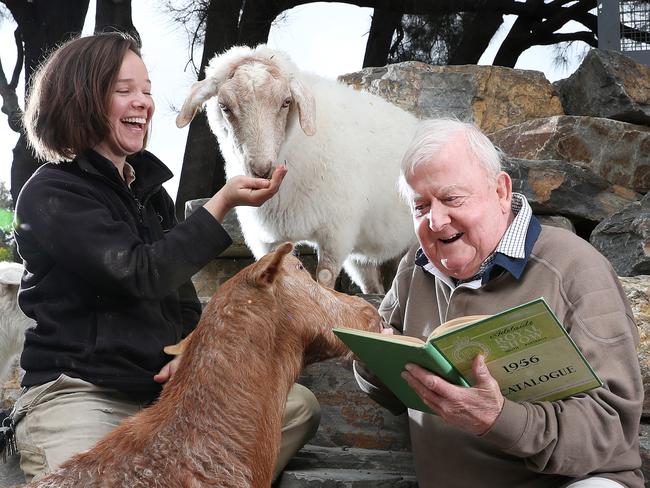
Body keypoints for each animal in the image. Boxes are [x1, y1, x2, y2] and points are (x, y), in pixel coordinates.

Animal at [177, 44, 418, 294]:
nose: (262, 170)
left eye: (286, 102)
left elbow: (324, 279)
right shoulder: (268, 240)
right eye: (224, 107)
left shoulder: (337, 232)